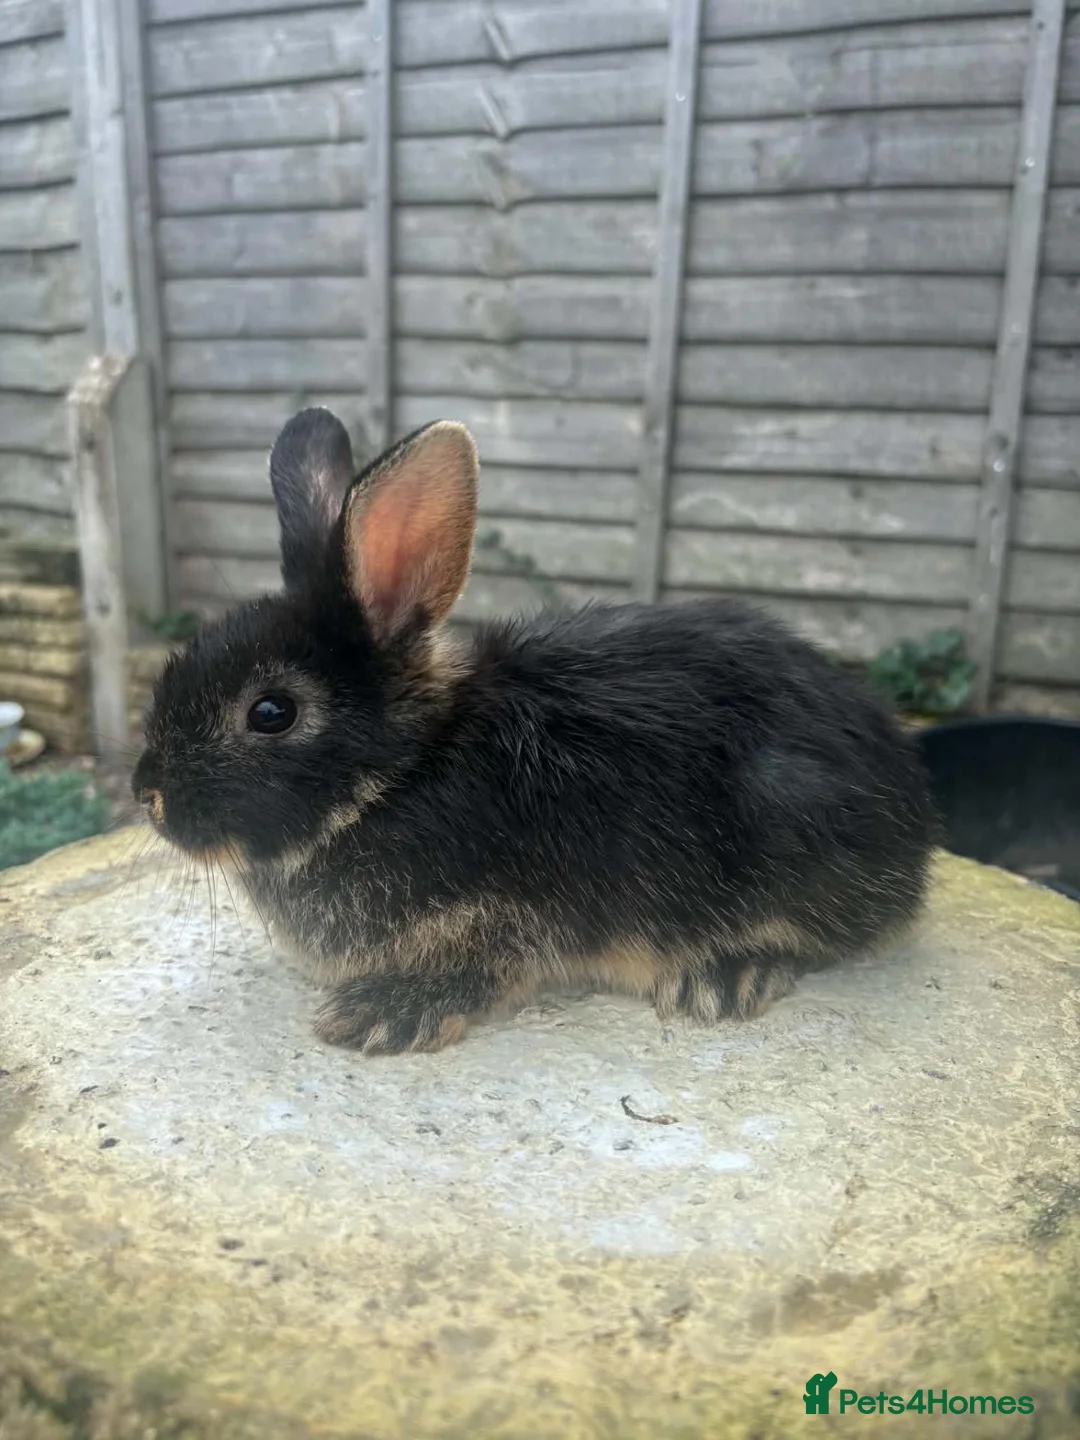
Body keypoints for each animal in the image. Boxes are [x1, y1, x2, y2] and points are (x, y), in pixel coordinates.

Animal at [132, 407, 938, 1055]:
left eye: (272, 712)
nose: (149, 794)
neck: (401, 775)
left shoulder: (499, 916)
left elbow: (479, 967)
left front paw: (380, 1015)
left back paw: (725, 973)